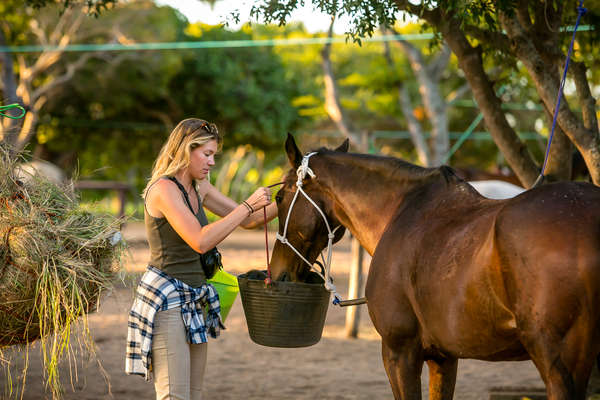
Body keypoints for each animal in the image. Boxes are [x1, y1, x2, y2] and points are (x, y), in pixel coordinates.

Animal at [270, 134, 600, 400]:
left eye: (279, 197)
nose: (278, 272)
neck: (402, 212)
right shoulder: (444, 358)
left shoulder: (400, 353)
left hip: (558, 365)